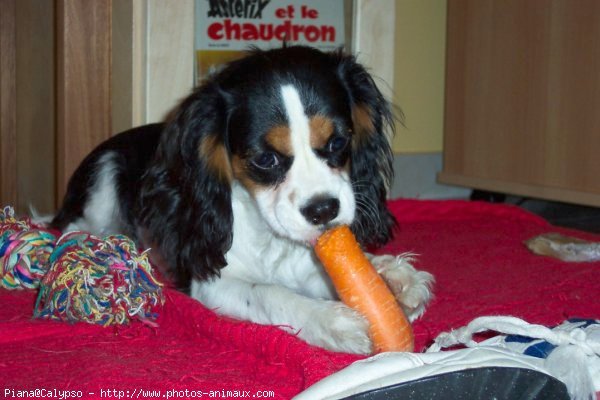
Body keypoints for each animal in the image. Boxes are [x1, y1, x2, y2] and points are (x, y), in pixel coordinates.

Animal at [50, 47, 432, 354]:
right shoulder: (214, 285)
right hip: (101, 182)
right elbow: (268, 293)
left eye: (338, 142)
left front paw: (390, 275)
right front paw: (331, 322)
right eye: (265, 159)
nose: (323, 209)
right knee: (71, 230)